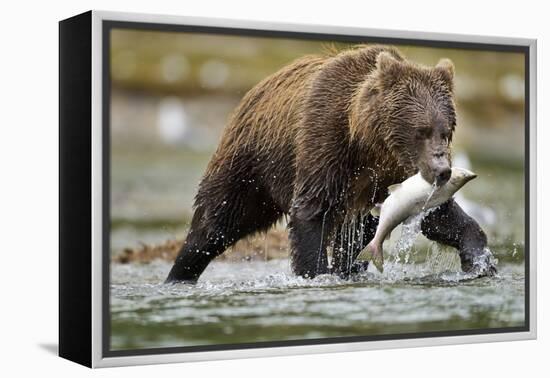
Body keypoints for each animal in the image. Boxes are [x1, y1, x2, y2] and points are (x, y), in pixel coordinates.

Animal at [165, 44, 496, 282]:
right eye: (421, 131)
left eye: (446, 131)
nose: (442, 170)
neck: (368, 144)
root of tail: (253, 92)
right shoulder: (325, 144)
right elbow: (311, 212)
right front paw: (316, 273)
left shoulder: (392, 176)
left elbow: (436, 214)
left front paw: (480, 261)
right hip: (250, 166)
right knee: (215, 223)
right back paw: (179, 275)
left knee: (358, 239)